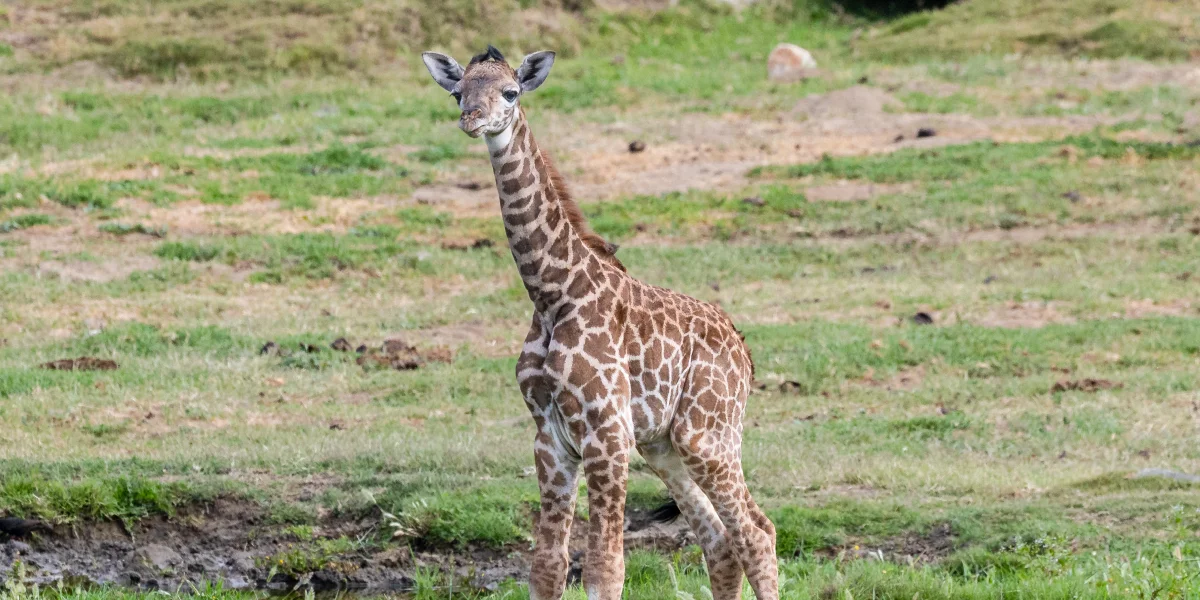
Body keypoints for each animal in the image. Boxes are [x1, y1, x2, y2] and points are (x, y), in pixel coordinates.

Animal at [421, 46, 779, 600]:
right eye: (459, 91)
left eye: (511, 92)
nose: (472, 119)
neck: (553, 296)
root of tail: (745, 353)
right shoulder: (550, 439)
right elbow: (547, 565)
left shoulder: (607, 434)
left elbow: (605, 567)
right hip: (664, 445)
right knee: (720, 542)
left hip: (710, 435)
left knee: (757, 534)